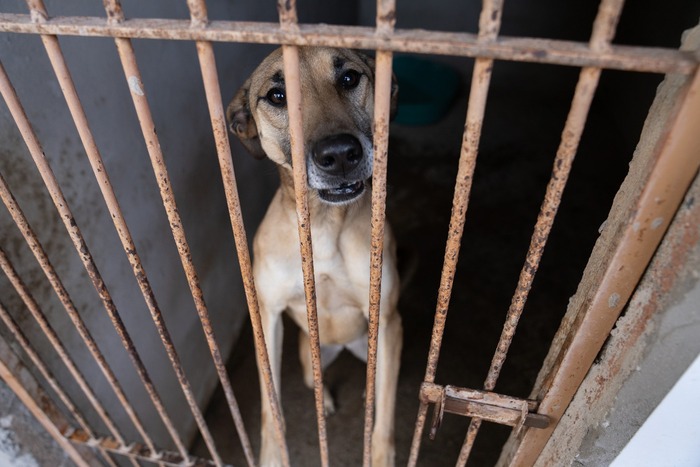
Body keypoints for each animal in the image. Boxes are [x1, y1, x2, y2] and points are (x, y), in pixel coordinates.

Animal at [227, 45, 402, 466]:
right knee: (312, 379)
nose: (339, 155)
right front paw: (273, 454)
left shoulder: (388, 319)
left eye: (349, 78)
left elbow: (384, 420)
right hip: (311, 353)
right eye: (277, 96)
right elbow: (269, 407)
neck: (324, 226)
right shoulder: (268, 318)